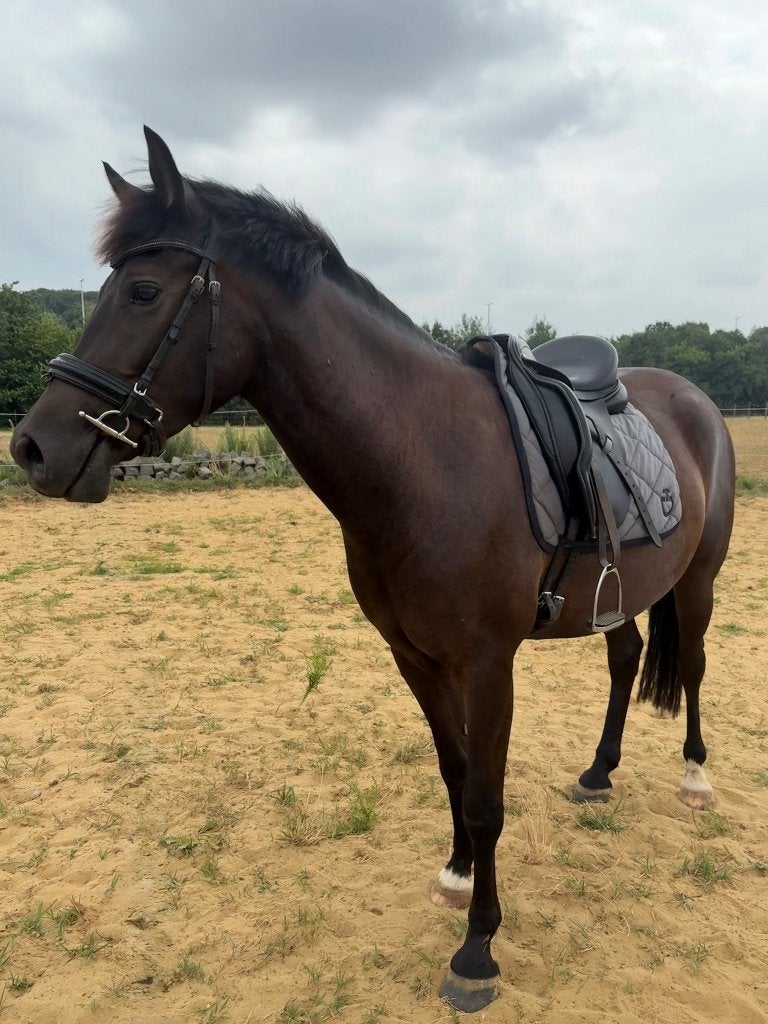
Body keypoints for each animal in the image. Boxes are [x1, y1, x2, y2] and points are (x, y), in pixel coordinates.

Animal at [11, 127, 735, 1012]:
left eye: (144, 292)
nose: (32, 449)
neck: (424, 459)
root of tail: (692, 398)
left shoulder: (488, 663)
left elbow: (487, 798)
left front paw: (478, 950)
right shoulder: (413, 656)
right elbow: (454, 771)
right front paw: (457, 877)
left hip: (698, 580)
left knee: (691, 664)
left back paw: (695, 779)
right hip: (618, 592)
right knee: (627, 657)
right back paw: (599, 773)